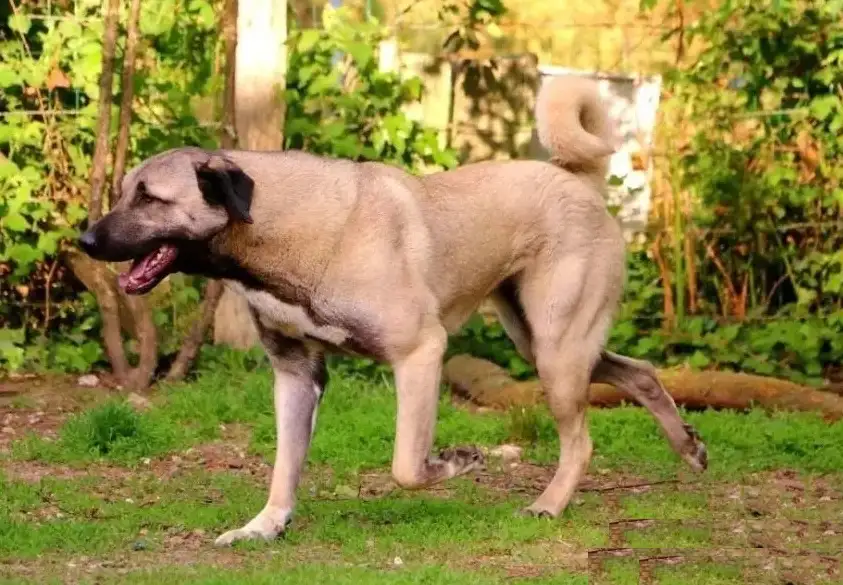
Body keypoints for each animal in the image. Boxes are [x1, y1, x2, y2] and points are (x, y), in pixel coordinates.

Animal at [79, 75, 708, 544]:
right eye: (123, 192)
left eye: (150, 198)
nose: (85, 241)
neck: (279, 226)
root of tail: (573, 177)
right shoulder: (296, 375)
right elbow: (284, 468)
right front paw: (265, 526)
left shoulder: (421, 353)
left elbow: (407, 466)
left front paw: (455, 462)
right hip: (543, 342)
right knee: (641, 373)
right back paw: (687, 445)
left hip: (556, 350)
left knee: (581, 440)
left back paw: (550, 504)